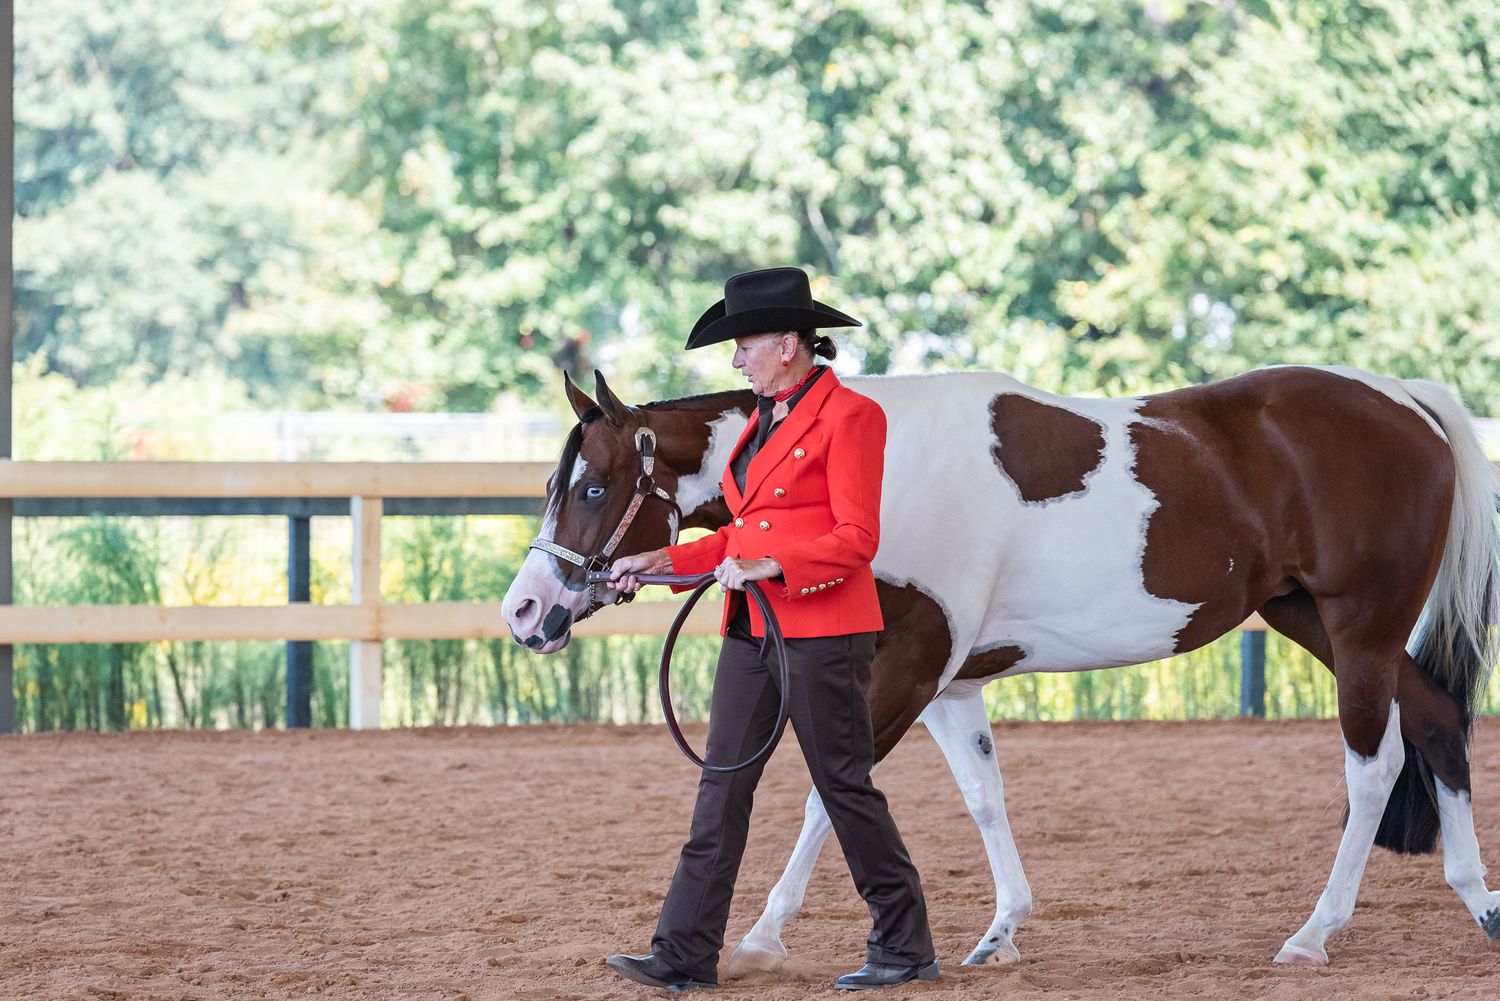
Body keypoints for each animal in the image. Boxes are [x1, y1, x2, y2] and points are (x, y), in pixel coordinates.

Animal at [500, 364, 1500, 969]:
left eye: (593, 486)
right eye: (556, 484)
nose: (526, 610)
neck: (873, 472)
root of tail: (1409, 400)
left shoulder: (909, 665)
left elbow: (833, 791)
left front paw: (759, 936)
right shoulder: (951, 681)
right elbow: (983, 795)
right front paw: (1000, 929)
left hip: (1361, 628)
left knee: (1375, 764)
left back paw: (1314, 932)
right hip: (1311, 618)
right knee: (1438, 722)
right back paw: (1478, 901)